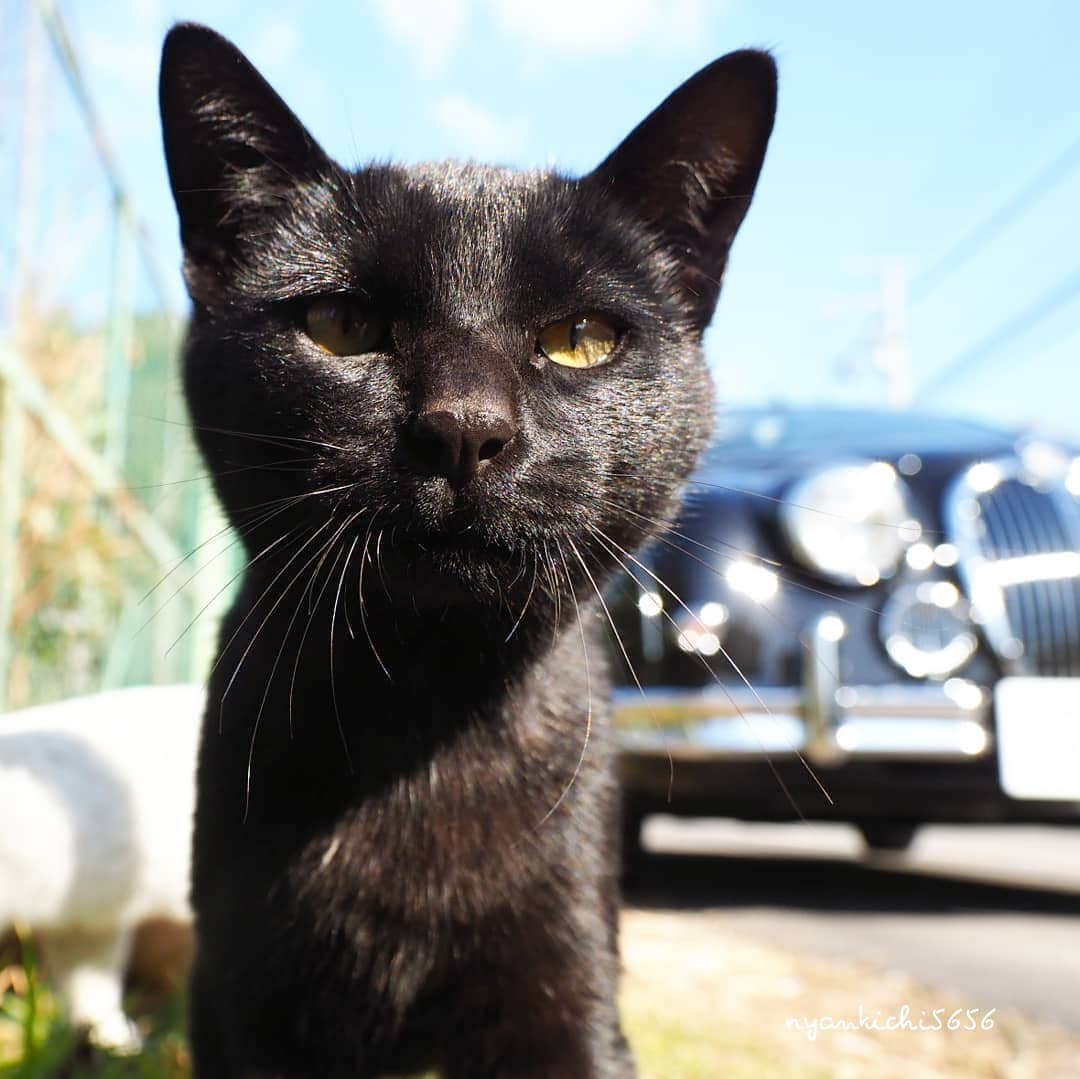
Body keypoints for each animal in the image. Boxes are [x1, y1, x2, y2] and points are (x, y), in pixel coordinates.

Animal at [156, 23, 773, 1071]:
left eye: (580, 338)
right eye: (340, 324)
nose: (464, 428)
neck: (420, 712)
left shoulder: (571, 983)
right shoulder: (236, 989)